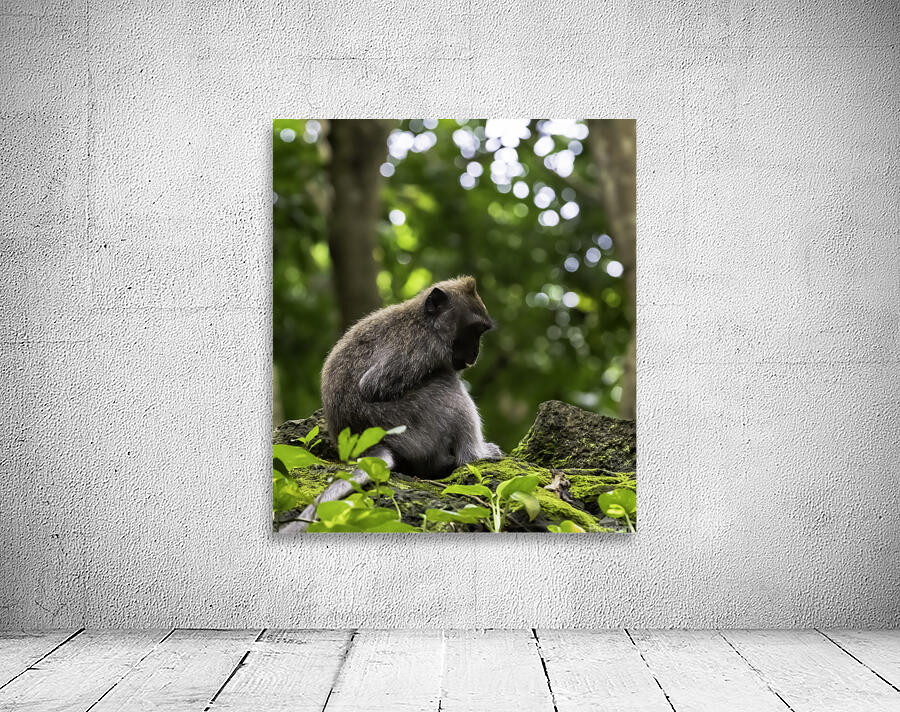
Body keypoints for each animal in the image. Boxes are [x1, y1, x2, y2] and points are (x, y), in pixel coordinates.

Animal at [283, 276, 502, 532]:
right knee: (445, 383)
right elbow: (373, 386)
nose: (475, 353)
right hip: (408, 429)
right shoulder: (418, 348)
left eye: (480, 332)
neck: (425, 323)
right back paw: (474, 455)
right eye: (473, 330)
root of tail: (367, 446)